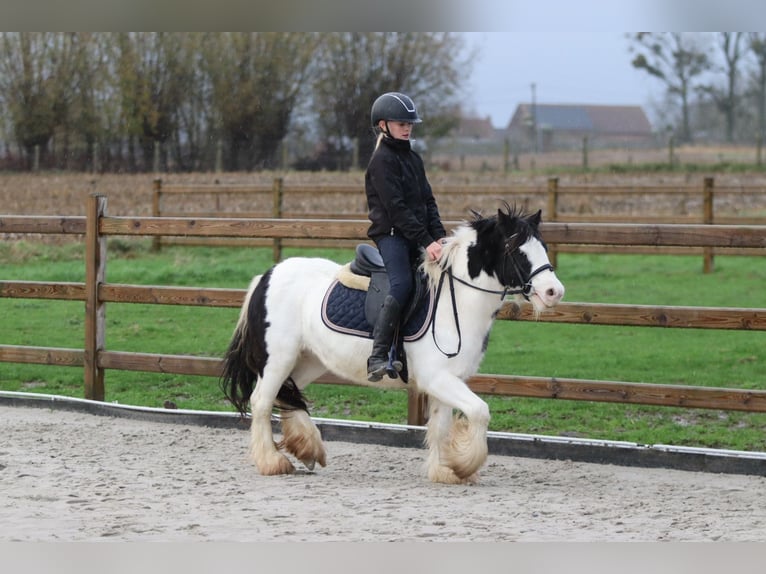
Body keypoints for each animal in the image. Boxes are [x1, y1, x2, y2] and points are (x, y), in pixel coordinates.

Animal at [220, 204, 565, 484]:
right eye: (515, 248)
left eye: (544, 246)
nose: (554, 292)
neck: (456, 301)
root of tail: (268, 275)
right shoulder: (436, 378)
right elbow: (480, 412)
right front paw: (464, 465)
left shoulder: (447, 380)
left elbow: (441, 426)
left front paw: (445, 471)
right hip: (279, 357)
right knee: (262, 401)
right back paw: (272, 462)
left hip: (307, 360)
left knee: (286, 395)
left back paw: (308, 448)